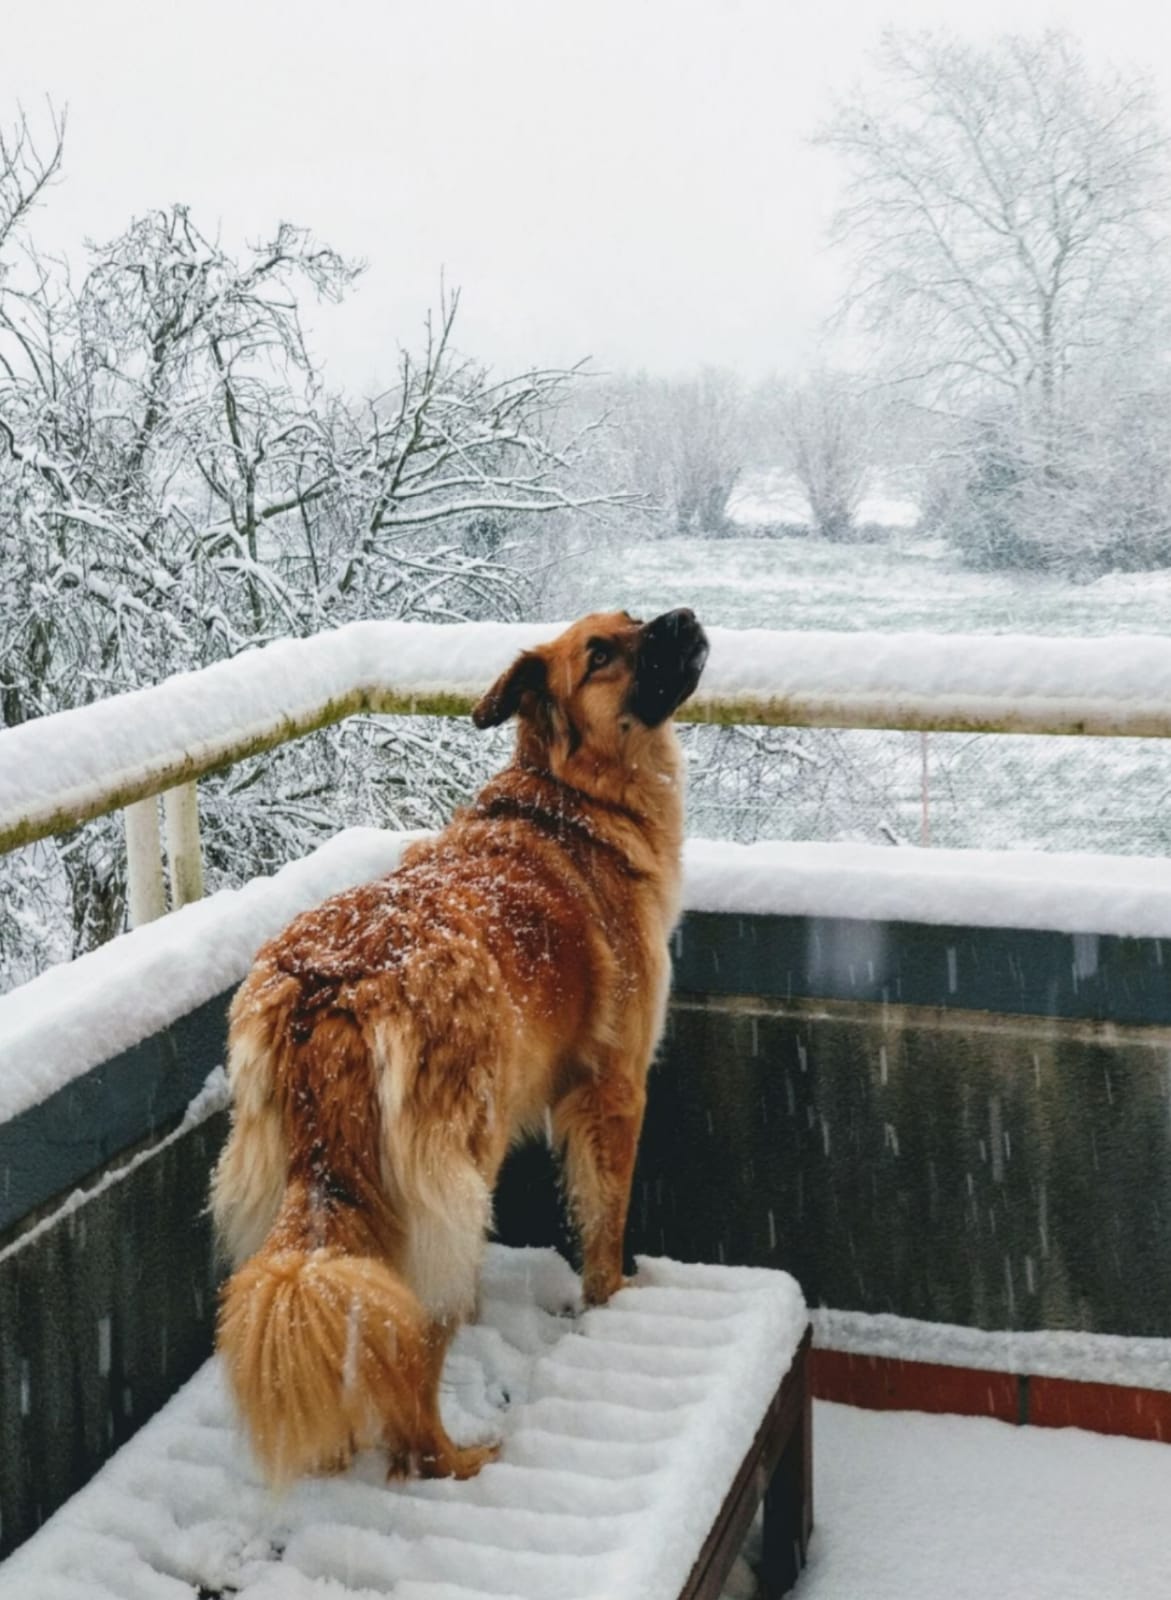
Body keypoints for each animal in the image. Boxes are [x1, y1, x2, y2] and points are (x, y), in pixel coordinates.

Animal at [207, 601, 703, 1484]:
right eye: (600, 654)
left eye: (635, 619)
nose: (682, 615)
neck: (570, 801)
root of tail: (332, 987)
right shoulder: (613, 1089)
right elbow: (603, 1225)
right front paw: (612, 1301)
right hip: (447, 1182)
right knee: (407, 1360)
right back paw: (452, 1456)